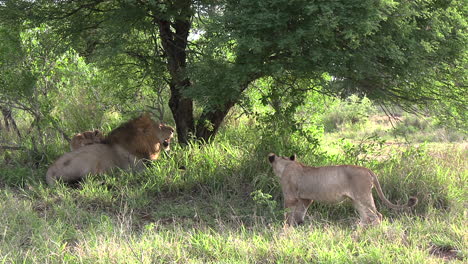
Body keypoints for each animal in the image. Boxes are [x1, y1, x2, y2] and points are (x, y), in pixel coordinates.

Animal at [46, 113, 175, 186]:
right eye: (160, 126)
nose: (173, 129)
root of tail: (50, 170)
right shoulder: (140, 167)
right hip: (90, 158)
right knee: (85, 181)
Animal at [266, 154, 416, 226]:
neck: (286, 164)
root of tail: (368, 170)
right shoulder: (306, 198)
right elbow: (299, 213)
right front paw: (299, 226)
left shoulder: (290, 197)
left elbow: (287, 214)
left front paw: (286, 228)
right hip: (356, 200)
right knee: (366, 217)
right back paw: (358, 233)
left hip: (363, 197)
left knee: (376, 216)